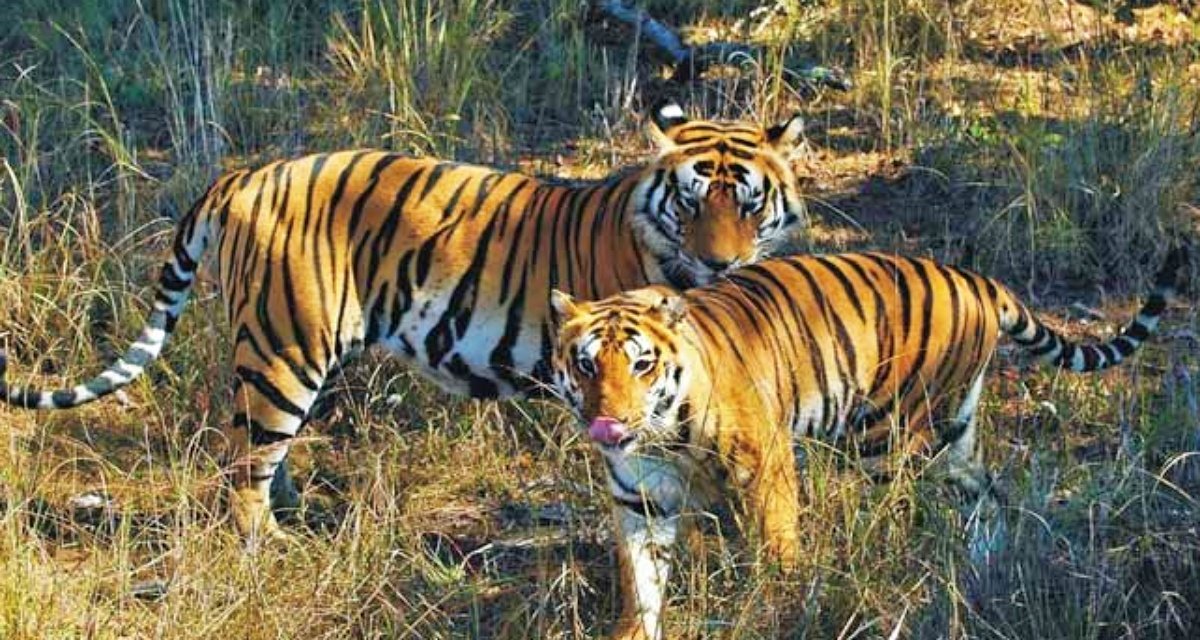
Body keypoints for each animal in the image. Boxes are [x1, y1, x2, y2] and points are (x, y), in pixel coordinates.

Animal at [0, 102, 808, 542]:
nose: (722, 264)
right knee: (243, 460)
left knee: (262, 448)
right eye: (692, 200)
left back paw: (300, 511)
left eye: (748, 203)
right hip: (285, 344)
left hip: (290, 352)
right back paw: (270, 540)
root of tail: (247, 173)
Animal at [548, 248, 1186, 640]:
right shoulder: (640, 500)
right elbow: (641, 579)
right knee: (987, 496)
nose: (607, 421)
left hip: (892, 434)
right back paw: (987, 568)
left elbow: (777, 549)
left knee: (907, 512)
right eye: (585, 364)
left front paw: (783, 606)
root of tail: (977, 280)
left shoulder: (766, 466)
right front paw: (635, 631)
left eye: (642, 364)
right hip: (955, 432)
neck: (659, 437)